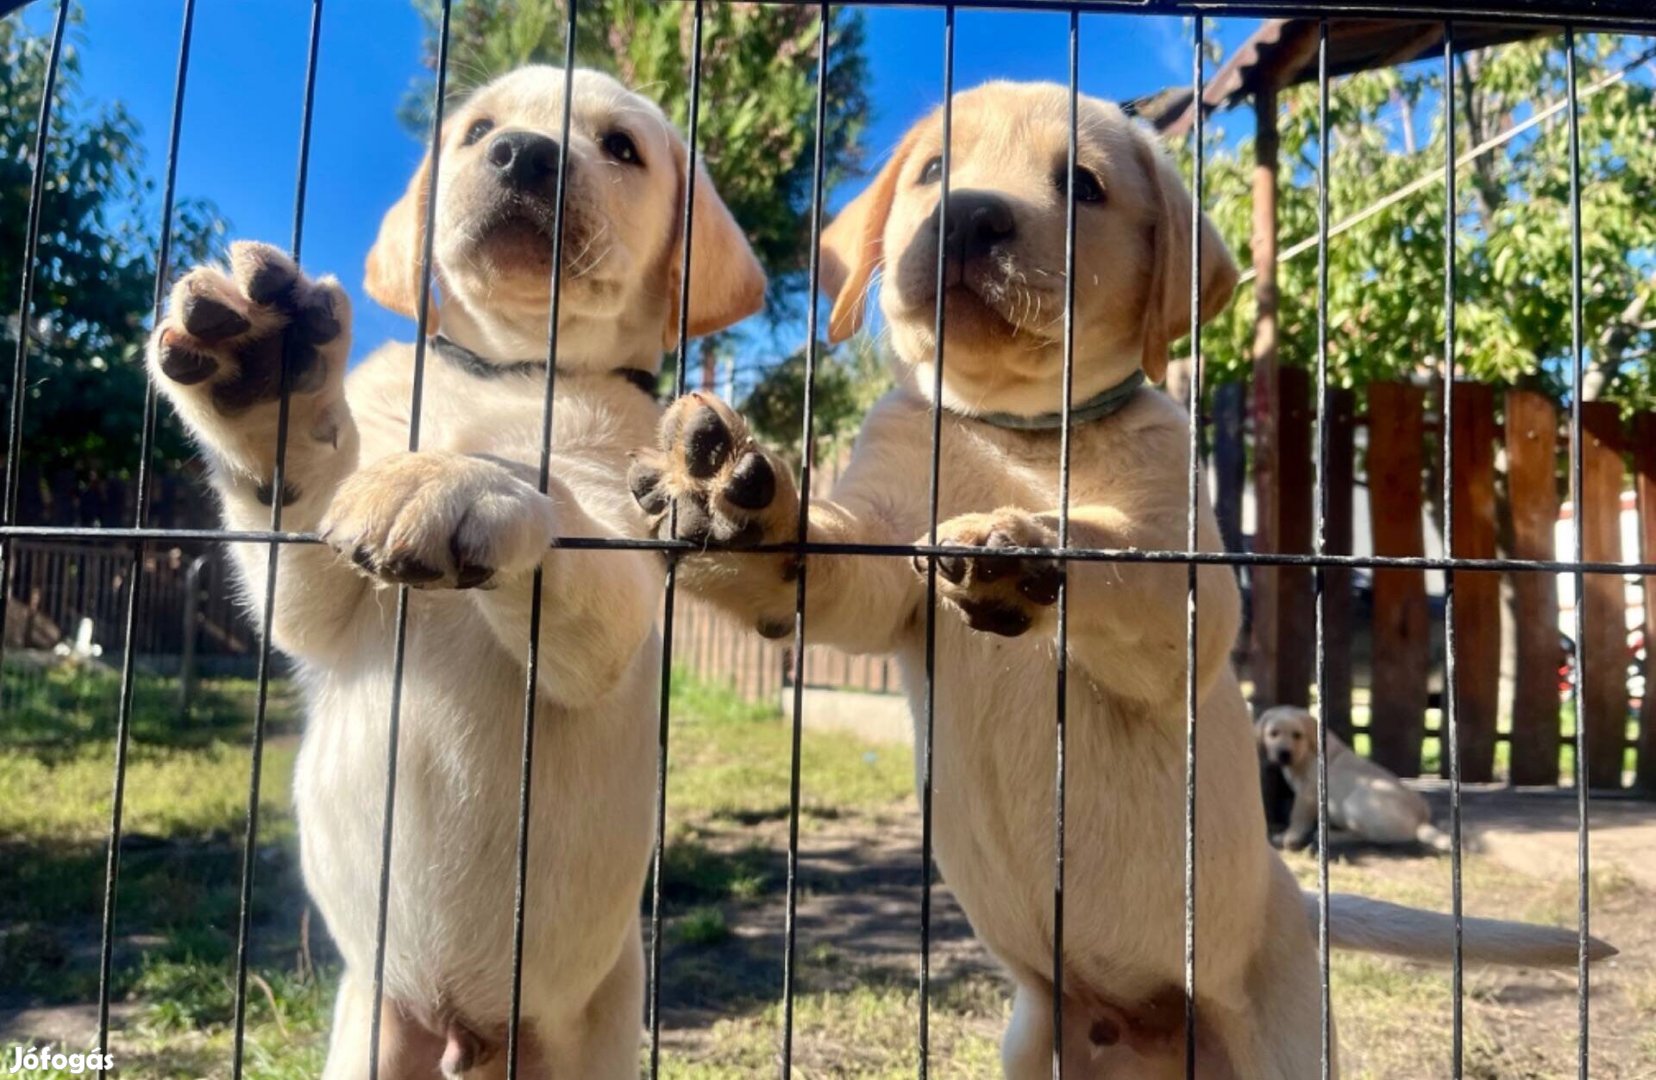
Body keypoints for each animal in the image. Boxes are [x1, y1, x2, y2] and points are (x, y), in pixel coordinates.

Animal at [145, 69, 765, 1080]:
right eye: (479, 131)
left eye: (620, 148)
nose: (524, 154)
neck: (510, 370)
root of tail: (465, 1032)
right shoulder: (321, 593)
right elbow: (301, 521)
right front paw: (267, 383)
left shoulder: (614, 583)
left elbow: (548, 498)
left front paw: (456, 480)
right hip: (370, 1035)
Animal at [1258, 705, 1457, 854]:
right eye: (1273, 733)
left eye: (1297, 735)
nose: (1284, 754)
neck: (1307, 753)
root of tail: (1421, 822)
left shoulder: (1308, 794)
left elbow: (1297, 817)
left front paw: (1289, 837)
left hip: (1357, 801)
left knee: (1365, 836)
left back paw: (1332, 836)